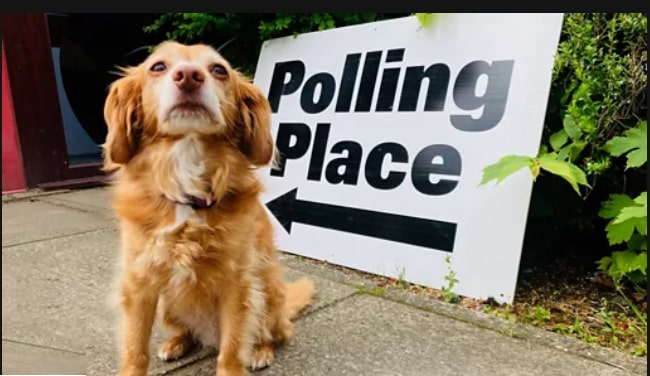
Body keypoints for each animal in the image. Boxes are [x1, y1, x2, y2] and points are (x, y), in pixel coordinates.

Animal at [103, 41, 314, 376]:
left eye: (219, 69)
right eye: (158, 66)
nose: (189, 76)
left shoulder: (237, 286)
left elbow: (231, 352)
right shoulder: (140, 284)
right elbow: (135, 351)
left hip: (266, 292)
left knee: (270, 333)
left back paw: (261, 351)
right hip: (168, 306)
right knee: (186, 331)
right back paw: (175, 343)